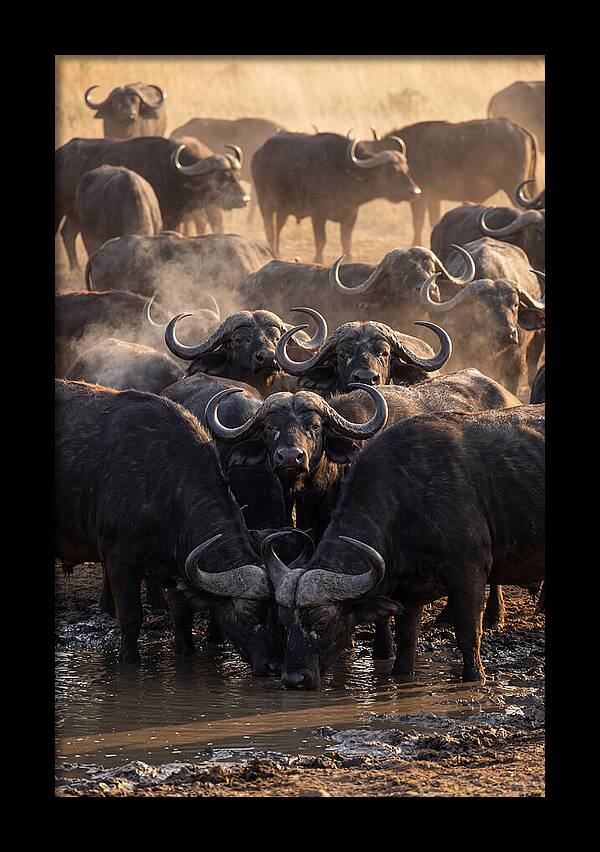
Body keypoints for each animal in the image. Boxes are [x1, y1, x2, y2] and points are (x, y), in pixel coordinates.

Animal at [251, 132, 421, 262]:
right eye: (391, 170)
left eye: (406, 168)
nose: (415, 191)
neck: (343, 172)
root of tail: (258, 154)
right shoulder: (318, 215)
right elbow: (321, 240)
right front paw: (318, 259)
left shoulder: (351, 214)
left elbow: (346, 240)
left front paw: (349, 258)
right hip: (265, 203)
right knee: (269, 229)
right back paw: (273, 253)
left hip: (283, 209)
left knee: (278, 227)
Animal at [262, 404, 544, 689]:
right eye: (284, 620)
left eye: (321, 621)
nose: (294, 678)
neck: (408, 499)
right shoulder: (409, 592)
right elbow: (406, 640)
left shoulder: (469, 572)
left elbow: (468, 635)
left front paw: (475, 678)